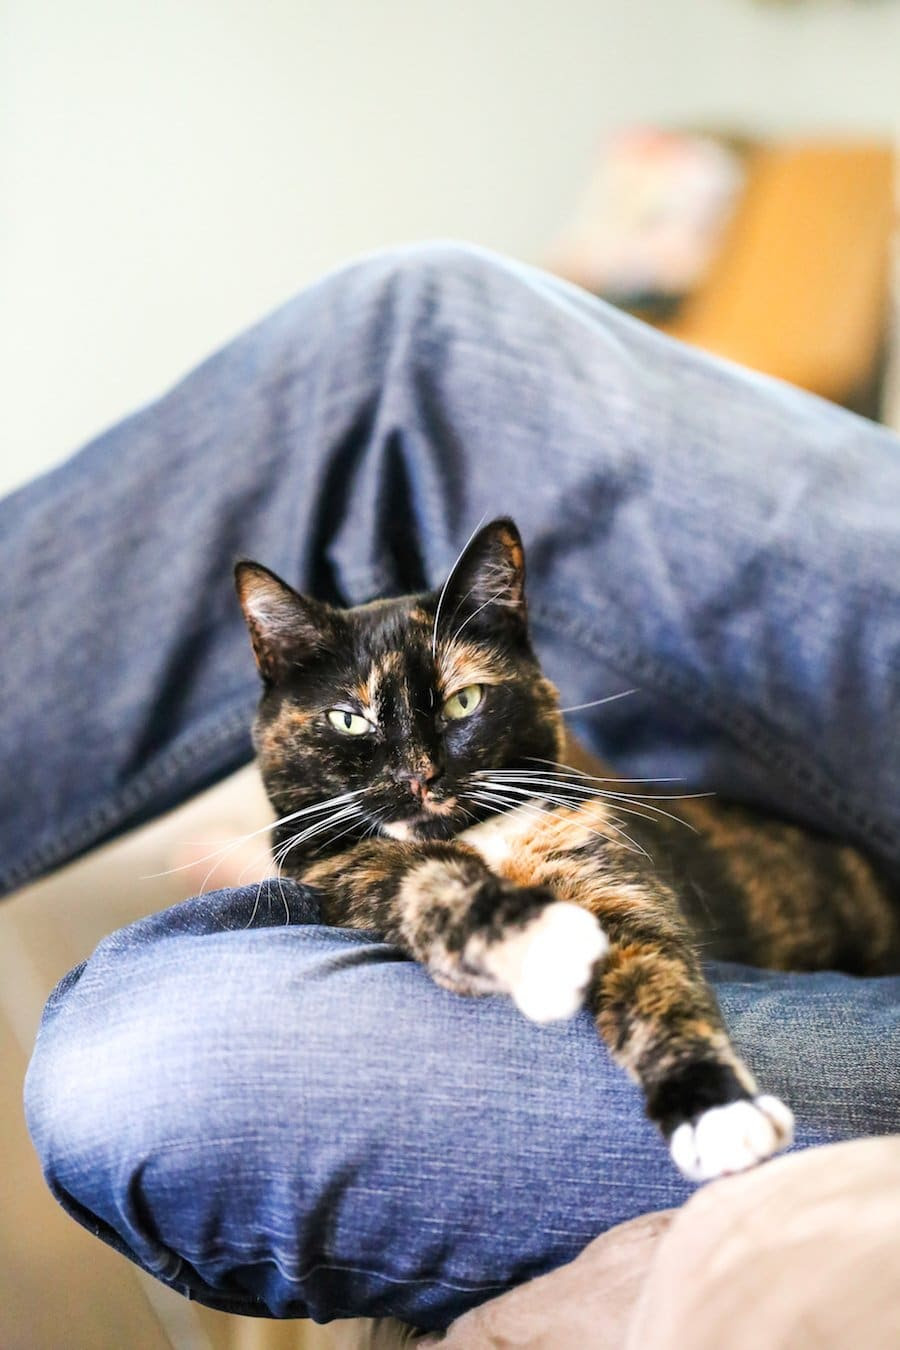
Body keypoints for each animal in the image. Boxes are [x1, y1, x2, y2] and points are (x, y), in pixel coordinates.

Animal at [235, 517, 899, 1181]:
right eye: (349, 720)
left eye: (463, 701)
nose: (419, 777)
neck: (477, 838)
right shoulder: (346, 870)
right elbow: (433, 887)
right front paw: (544, 942)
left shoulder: (610, 877)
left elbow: (658, 983)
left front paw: (716, 1109)